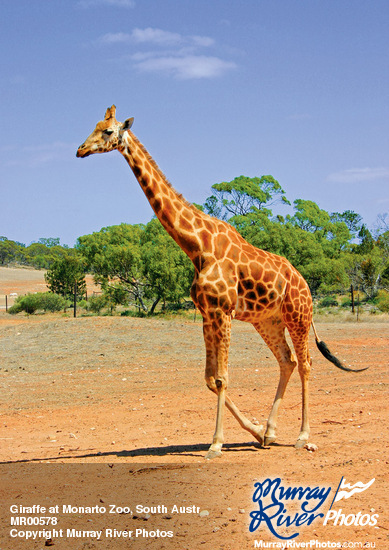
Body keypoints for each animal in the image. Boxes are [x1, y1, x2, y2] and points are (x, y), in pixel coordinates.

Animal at [76, 106, 366, 462]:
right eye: (94, 126)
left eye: (107, 131)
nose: (80, 150)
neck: (196, 245)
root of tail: (305, 284)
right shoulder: (206, 313)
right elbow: (209, 379)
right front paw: (253, 430)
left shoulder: (224, 311)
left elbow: (222, 377)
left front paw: (215, 444)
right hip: (267, 320)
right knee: (288, 361)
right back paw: (269, 432)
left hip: (298, 316)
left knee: (307, 364)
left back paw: (302, 436)